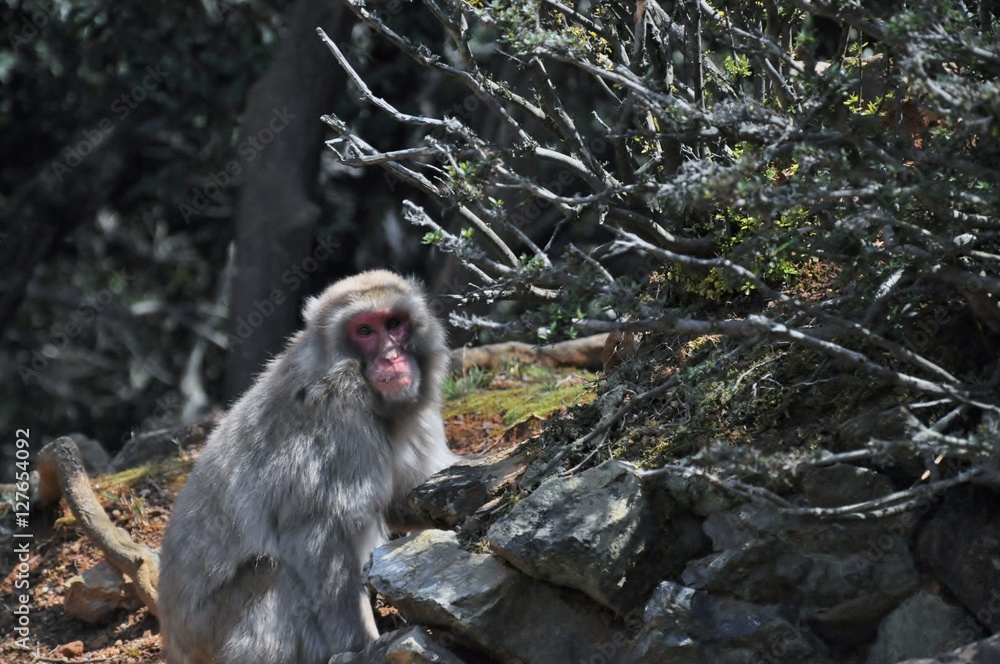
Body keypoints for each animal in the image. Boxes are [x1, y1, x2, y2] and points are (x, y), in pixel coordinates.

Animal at [157, 270, 458, 664]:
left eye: (394, 324)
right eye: (365, 331)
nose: (392, 357)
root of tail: (172, 641)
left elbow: (401, 500)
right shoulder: (338, 416)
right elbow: (316, 538)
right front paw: (362, 645)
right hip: (211, 631)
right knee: (272, 572)